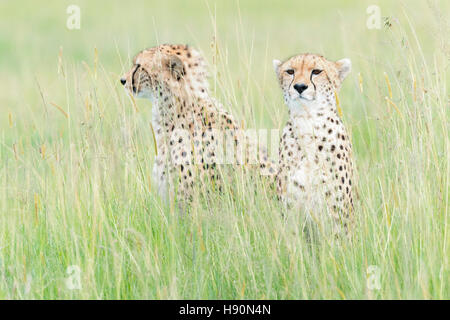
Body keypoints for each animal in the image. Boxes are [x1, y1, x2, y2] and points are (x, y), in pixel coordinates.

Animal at [272, 52, 356, 232]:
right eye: (290, 71)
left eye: (317, 71)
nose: (300, 87)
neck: (307, 121)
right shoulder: (290, 214)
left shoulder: (338, 215)